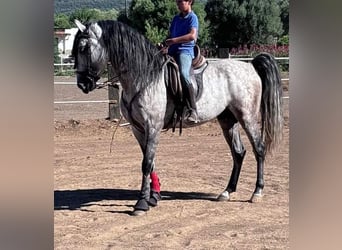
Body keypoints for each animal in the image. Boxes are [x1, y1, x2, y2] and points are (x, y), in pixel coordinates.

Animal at [71, 20, 284, 215]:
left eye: (83, 48)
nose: (82, 84)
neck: (144, 77)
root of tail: (251, 66)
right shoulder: (138, 129)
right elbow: (150, 161)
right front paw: (154, 197)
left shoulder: (153, 126)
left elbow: (146, 163)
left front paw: (141, 203)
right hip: (227, 120)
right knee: (238, 153)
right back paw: (227, 191)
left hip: (247, 117)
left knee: (259, 149)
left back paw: (257, 192)